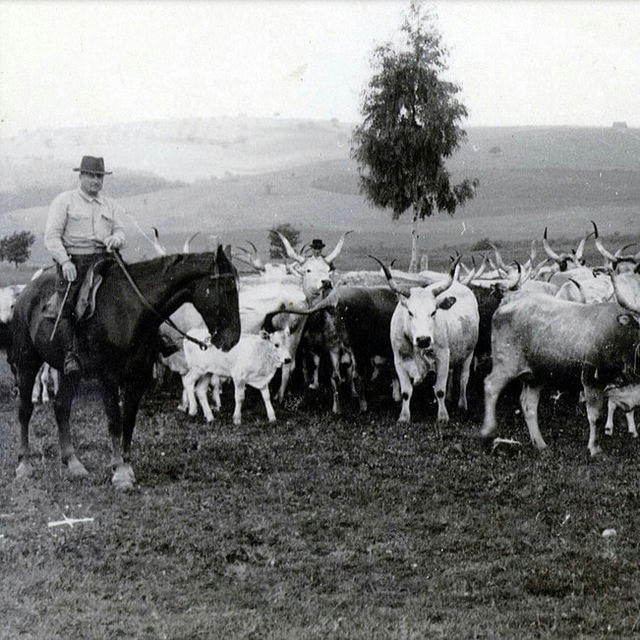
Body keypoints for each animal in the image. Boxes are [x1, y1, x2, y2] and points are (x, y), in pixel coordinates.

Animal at [9, 248, 240, 488]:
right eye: (228, 288)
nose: (233, 338)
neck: (129, 312)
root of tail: (25, 293)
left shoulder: (138, 379)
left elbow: (128, 421)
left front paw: (127, 467)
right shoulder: (108, 378)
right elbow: (114, 420)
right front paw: (119, 471)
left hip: (69, 372)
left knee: (62, 407)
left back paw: (73, 463)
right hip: (27, 362)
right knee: (25, 410)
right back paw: (24, 465)